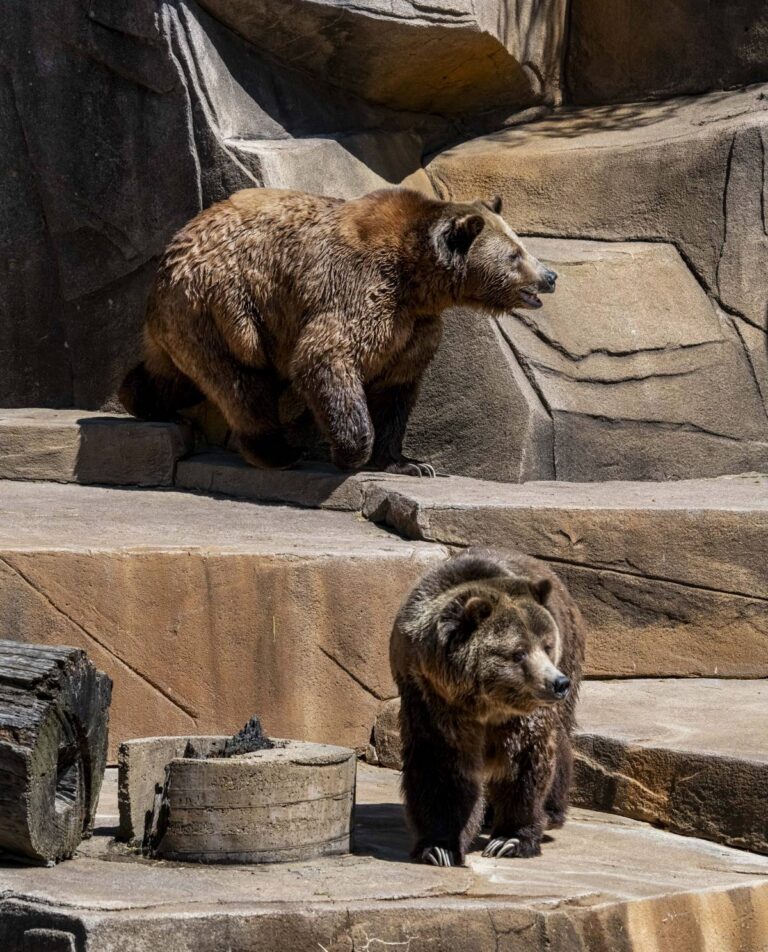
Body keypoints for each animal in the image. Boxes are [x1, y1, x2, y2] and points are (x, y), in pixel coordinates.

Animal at [119, 188, 557, 476]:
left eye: (521, 243)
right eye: (515, 254)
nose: (550, 276)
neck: (416, 279)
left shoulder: (414, 328)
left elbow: (396, 389)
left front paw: (408, 462)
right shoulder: (360, 292)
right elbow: (325, 357)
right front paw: (350, 453)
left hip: (193, 321)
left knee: (177, 374)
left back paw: (139, 396)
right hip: (225, 306)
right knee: (240, 382)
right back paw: (277, 450)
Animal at [390, 546, 584, 867]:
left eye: (546, 645)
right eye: (518, 653)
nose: (557, 683)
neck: (484, 703)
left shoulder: (520, 715)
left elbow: (525, 759)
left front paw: (510, 840)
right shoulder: (431, 697)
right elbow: (441, 764)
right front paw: (438, 847)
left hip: (571, 651)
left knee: (560, 738)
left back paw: (552, 811)